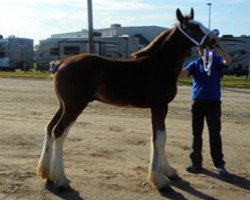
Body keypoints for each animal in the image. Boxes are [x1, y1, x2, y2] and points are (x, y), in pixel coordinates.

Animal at [36, 7, 219, 191]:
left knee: (49, 128)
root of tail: (62, 63)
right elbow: (160, 139)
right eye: (193, 28)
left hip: (63, 105)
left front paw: (168, 171)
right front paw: (160, 180)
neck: (159, 65)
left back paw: (47, 174)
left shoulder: (159, 108)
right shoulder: (159, 106)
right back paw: (61, 179)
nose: (214, 40)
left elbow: (158, 137)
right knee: (59, 132)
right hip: (74, 106)